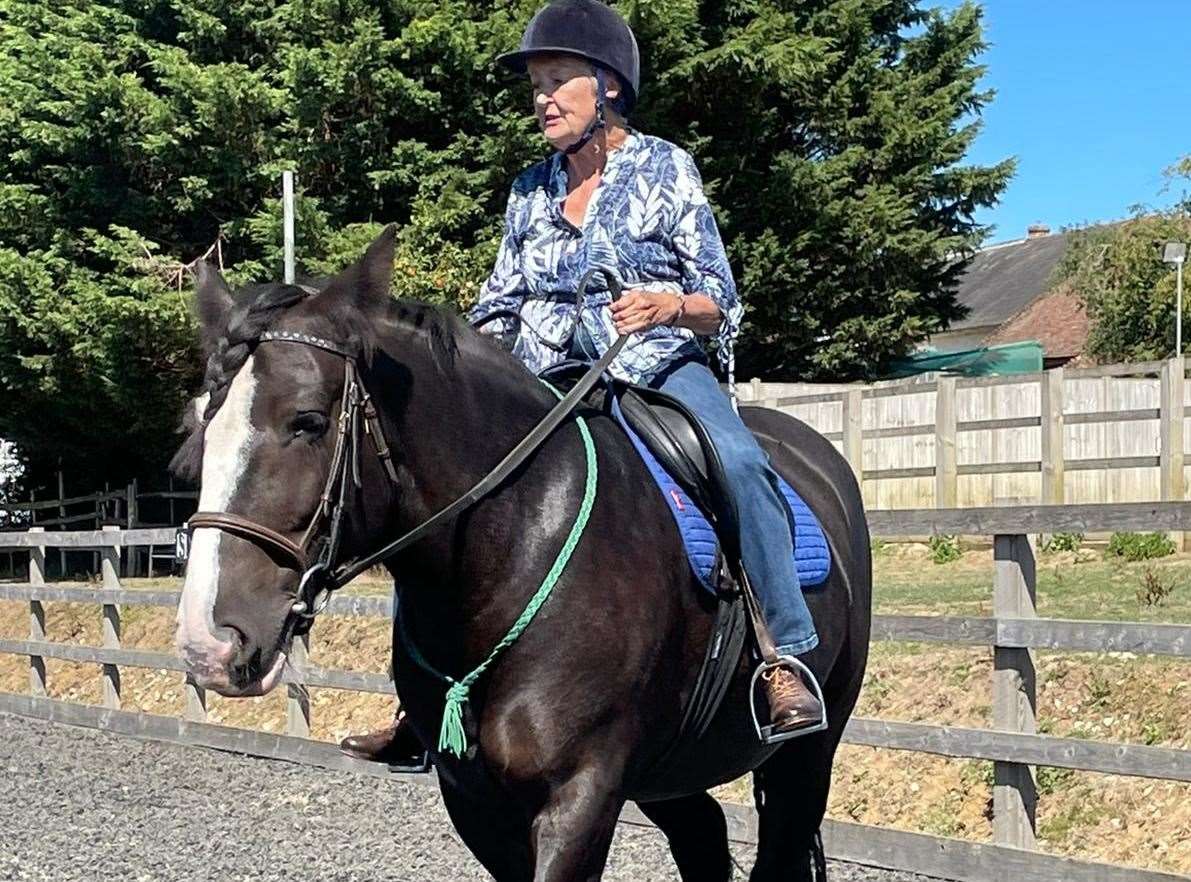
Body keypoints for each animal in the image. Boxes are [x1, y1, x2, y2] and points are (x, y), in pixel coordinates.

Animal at [172, 227, 871, 880]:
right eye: (200, 425)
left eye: (310, 421)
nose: (209, 642)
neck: (510, 550)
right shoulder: (477, 802)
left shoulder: (581, 796)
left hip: (807, 756)